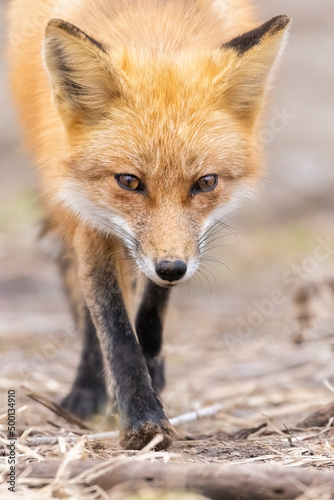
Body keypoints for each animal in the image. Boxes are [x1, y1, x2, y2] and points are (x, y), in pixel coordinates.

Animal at [6, 0, 290, 452]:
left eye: (205, 183)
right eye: (128, 181)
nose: (171, 268)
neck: (154, 23)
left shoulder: (180, 247)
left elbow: (152, 308)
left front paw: (150, 372)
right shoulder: (89, 214)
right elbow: (114, 328)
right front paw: (142, 419)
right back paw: (87, 391)